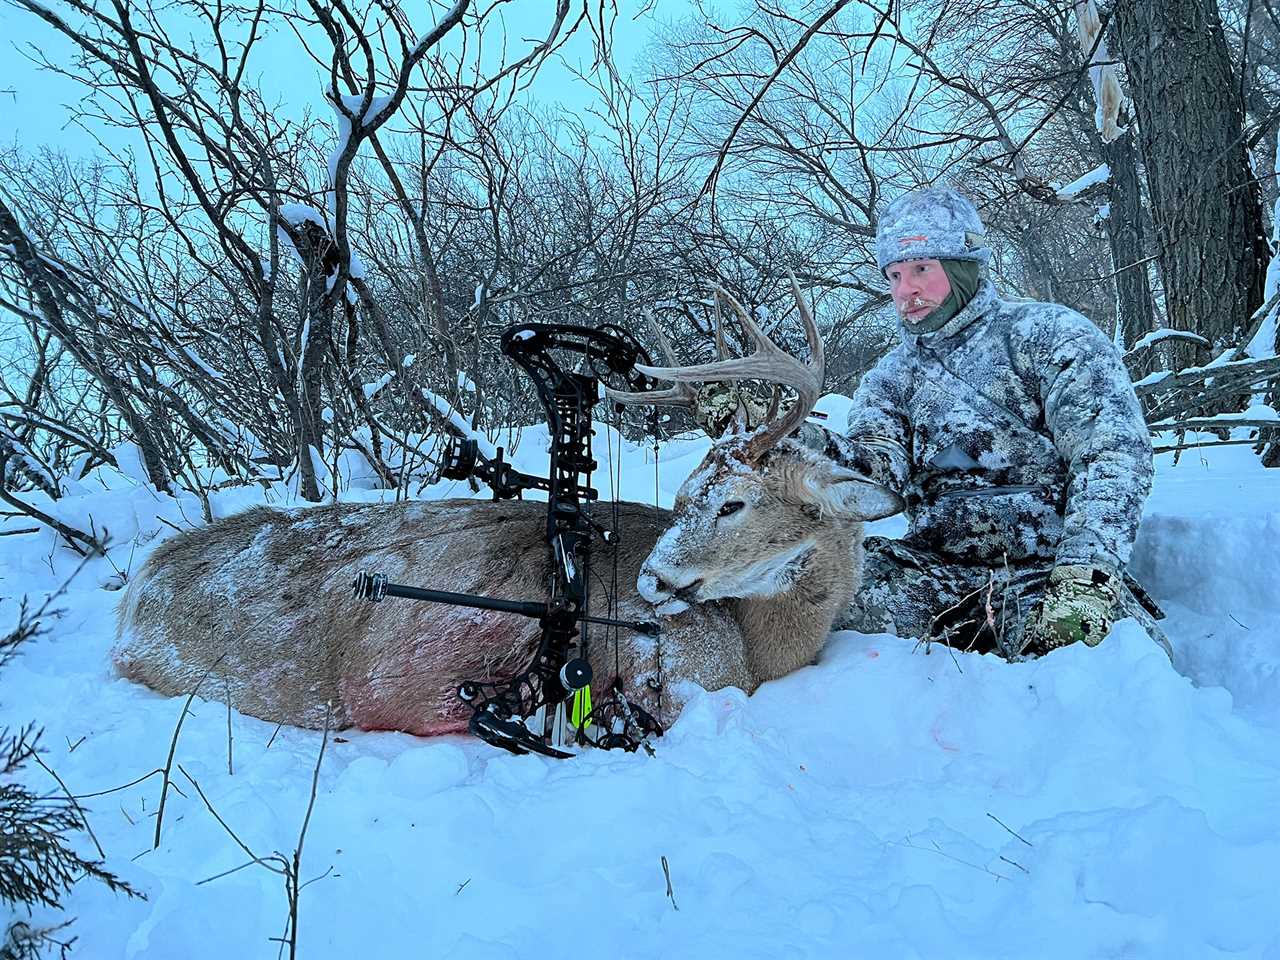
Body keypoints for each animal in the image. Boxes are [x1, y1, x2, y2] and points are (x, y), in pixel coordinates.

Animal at [117, 277, 901, 737]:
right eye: (684, 498)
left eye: (733, 502)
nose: (651, 578)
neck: (766, 641)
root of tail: (137, 587)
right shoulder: (675, 673)